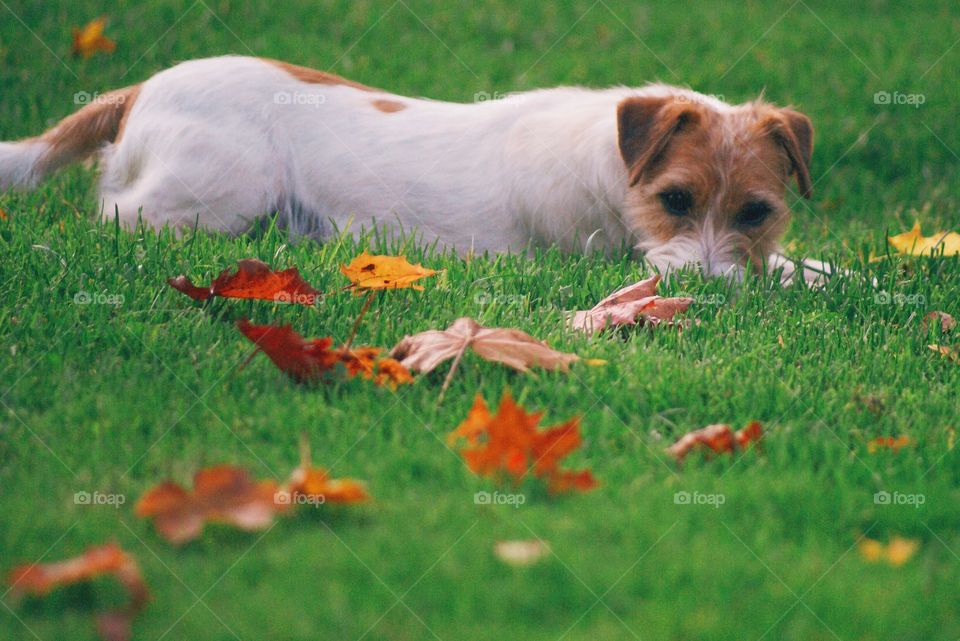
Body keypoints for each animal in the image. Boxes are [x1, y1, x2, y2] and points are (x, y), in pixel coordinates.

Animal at [0, 56, 824, 282]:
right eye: (674, 199)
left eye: (757, 211)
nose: (711, 289)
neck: (610, 165)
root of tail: (140, 89)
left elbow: (803, 265)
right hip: (221, 190)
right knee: (116, 221)